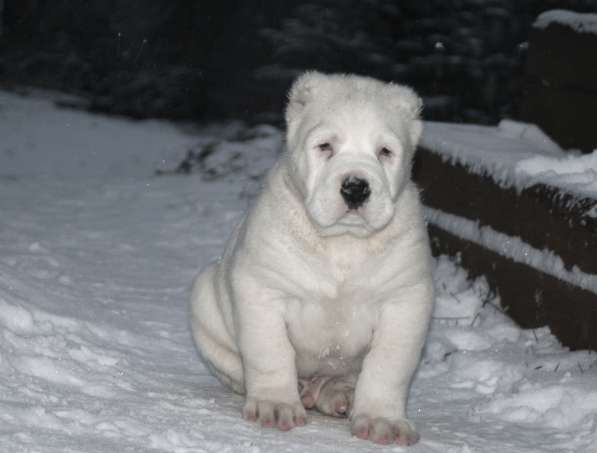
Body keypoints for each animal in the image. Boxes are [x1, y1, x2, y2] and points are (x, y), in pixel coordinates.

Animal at [191, 71, 434, 444]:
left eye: (385, 152)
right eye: (325, 146)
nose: (355, 187)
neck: (342, 244)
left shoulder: (406, 300)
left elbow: (388, 364)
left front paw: (382, 419)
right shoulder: (261, 289)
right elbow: (270, 350)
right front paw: (275, 405)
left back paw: (338, 393)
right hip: (204, 301)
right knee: (237, 366)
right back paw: (301, 389)